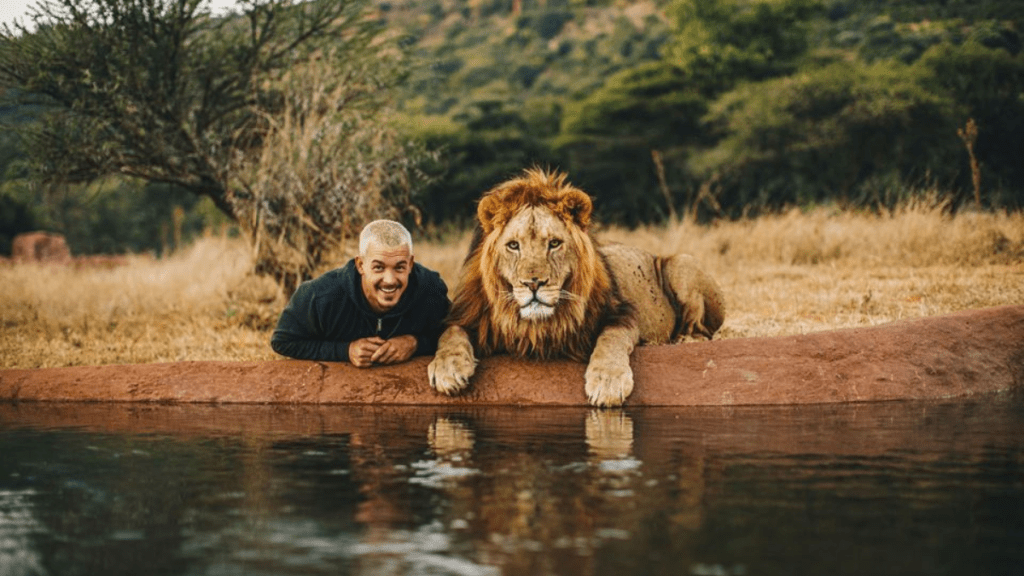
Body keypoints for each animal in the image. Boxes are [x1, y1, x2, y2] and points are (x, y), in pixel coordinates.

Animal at [427, 169, 725, 407]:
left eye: (554, 243)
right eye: (513, 245)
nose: (533, 283)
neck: (537, 325)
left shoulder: (620, 312)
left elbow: (612, 338)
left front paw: (608, 382)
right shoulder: (469, 316)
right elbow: (450, 333)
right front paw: (448, 369)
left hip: (682, 263)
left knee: (702, 328)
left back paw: (686, 340)